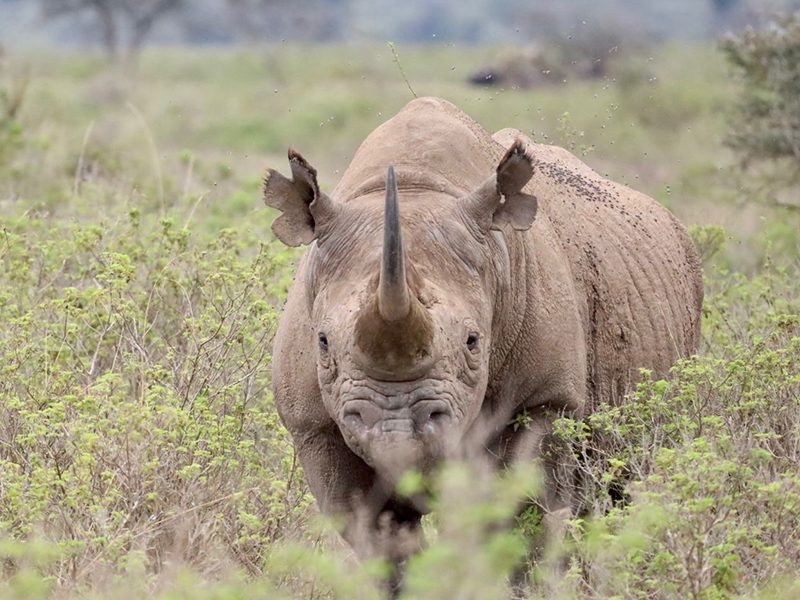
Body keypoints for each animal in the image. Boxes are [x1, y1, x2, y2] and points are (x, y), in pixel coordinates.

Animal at [264, 97, 703, 590]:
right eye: (322, 342)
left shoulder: (543, 400)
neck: (414, 187)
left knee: (619, 487)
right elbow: (382, 542)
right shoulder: (315, 425)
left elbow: (523, 527)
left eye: (474, 342)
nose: (395, 432)